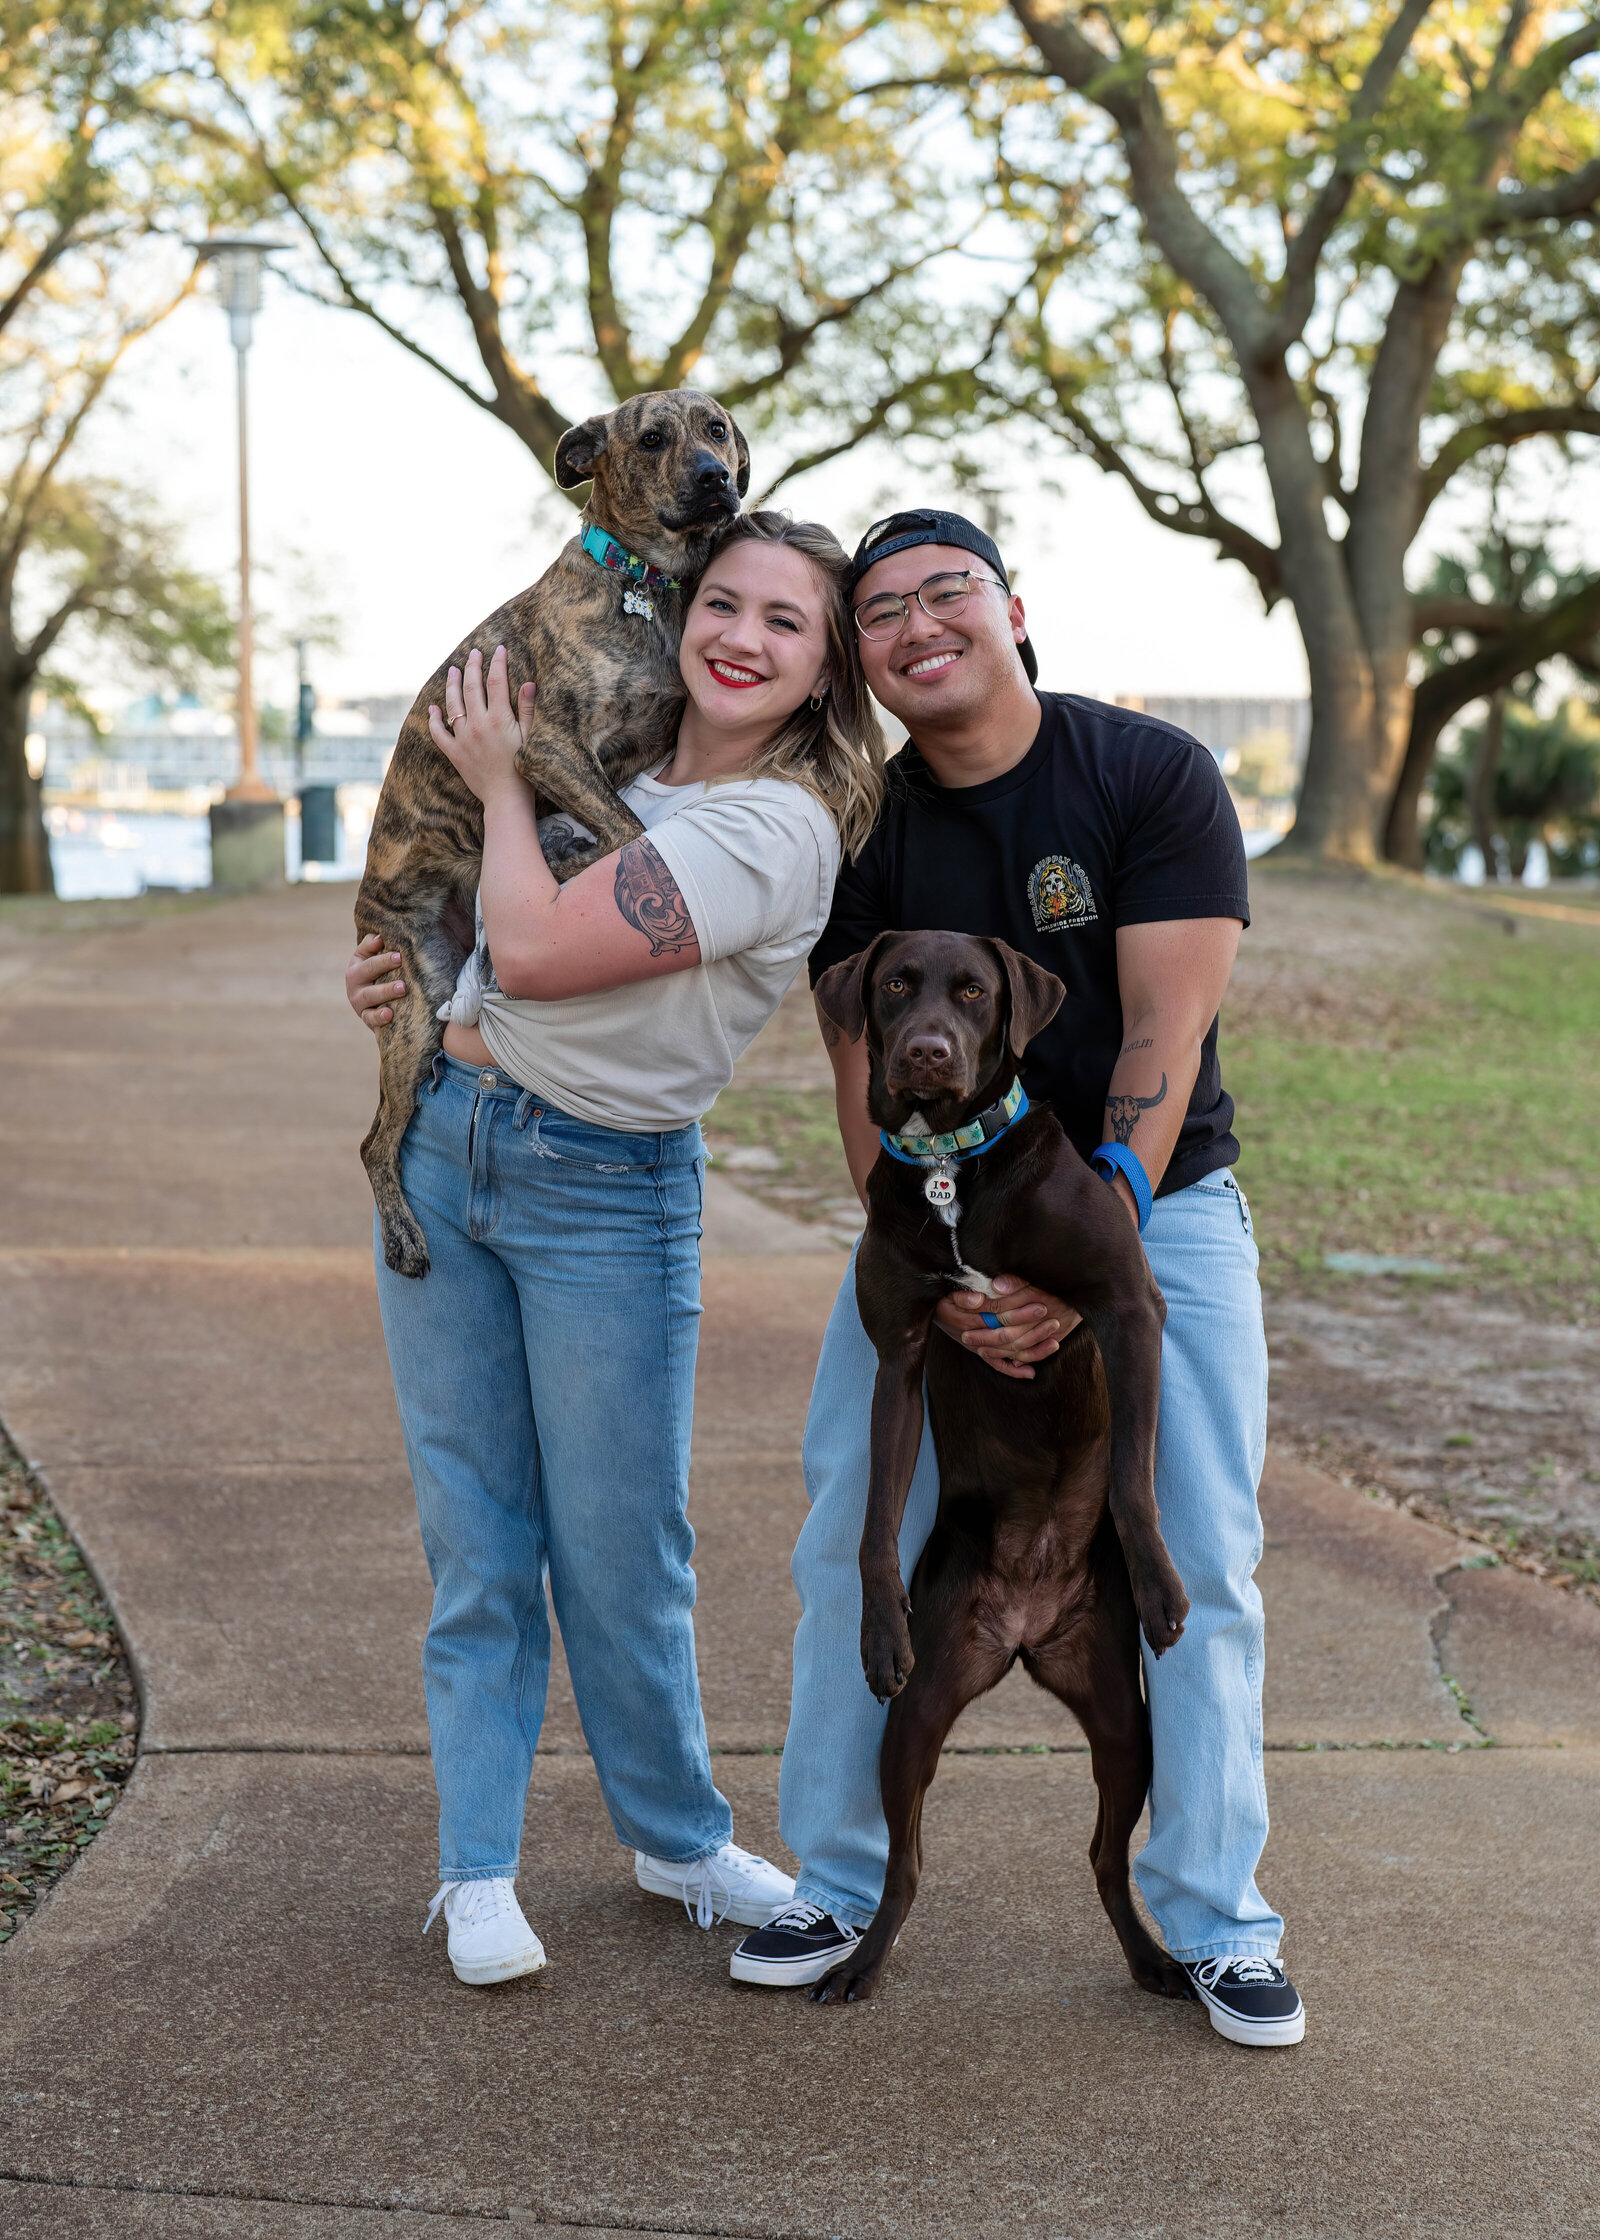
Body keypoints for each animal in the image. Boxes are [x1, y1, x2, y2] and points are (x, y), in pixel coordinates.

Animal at [354, 385, 748, 1281]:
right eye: (651, 440)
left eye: (717, 431)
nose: (716, 478)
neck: (645, 584)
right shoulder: (548, 747)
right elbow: (628, 831)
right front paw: (569, 854)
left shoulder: (644, 746)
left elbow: (624, 826)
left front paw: (566, 851)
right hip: (414, 1002)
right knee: (372, 1144)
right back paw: (404, 1238)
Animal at [802, 927, 1192, 2016]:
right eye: (897, 984)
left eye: (973, 992)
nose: (928, 1051)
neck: (949, 1166)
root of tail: (1023, 1628)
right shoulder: (897, 1356)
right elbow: (870, 1523)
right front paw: (876, 1625)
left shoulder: (1124, 1304)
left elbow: (1135, 1480)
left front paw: (1161, 1585)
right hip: (921, 1715)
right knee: (906, 1863)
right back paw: (857, 1964)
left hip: (1124, 1722)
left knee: (1105, 1856)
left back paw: (1155, 1962)